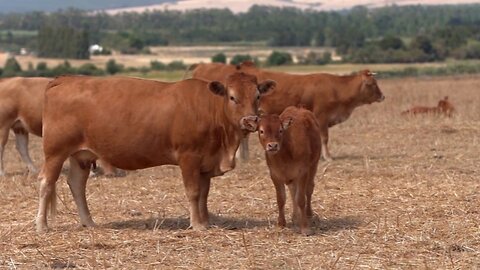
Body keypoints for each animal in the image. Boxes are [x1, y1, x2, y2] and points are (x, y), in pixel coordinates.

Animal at [35, 73, 276, 232]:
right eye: (232, 97)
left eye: (257, 96)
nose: (250, 120)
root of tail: (66, 79)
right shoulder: (189, 157)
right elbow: (193, 192)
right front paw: (197, 225)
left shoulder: (206, 162)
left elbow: (204, 194)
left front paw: (206, 221)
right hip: (55, 152)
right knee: (46, 183)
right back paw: (41, 225)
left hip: (82, 155)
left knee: (76, 184)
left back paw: (89, 222)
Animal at [189, 63, 384, 161]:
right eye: (372, 84)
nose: (382, 96)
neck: (336, 88)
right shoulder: (321, 117)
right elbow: (324, 138)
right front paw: (328, 157)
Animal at [256, 106, 320, 235]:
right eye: (261, 131)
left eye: (280, 130)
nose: (273, 146)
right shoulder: (275, 175)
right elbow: (281, 199)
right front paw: (281, 224)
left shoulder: (303, 172)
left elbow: (301, 199)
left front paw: (305, 228)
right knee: (292, 191)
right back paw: (295, 217)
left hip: (313, 165)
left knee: (309, 189)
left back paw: (308, 214)